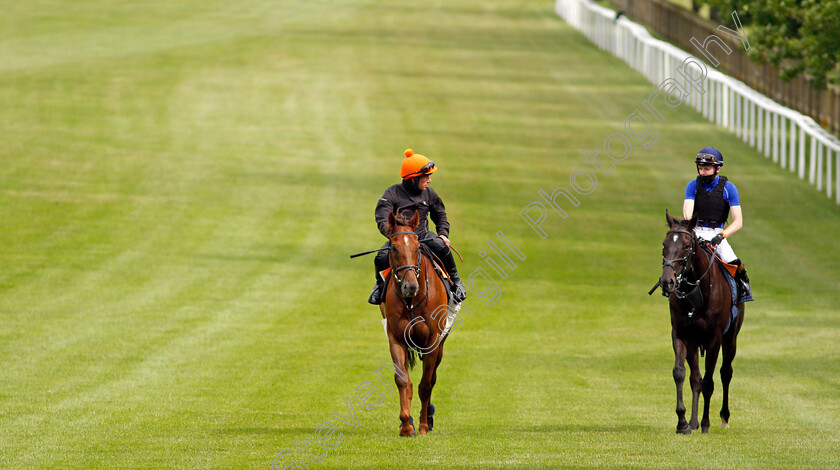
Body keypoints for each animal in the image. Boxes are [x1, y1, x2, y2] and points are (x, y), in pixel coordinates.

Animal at [378, 210, 450, 436]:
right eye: (394, 247)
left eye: (417, 247)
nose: (410, 286)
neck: (411, 301)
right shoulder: (396, 338)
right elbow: (402, 380)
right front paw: (406, 425)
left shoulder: (433, 341)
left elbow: (426, 385)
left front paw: (424, 426)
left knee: (432, 379)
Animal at [660, 211, 744, 436]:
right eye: (664, 244)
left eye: (686, 246)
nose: (667, 282)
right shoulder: (681, 334)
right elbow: (681, 373)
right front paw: (683, 422)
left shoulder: (714, 338)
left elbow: (709, 381)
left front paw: (706, 423)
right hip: (694, 343)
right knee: (695, 379)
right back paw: (693, 422)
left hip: (730, 339)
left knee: (725, 373)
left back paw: (723, 418)